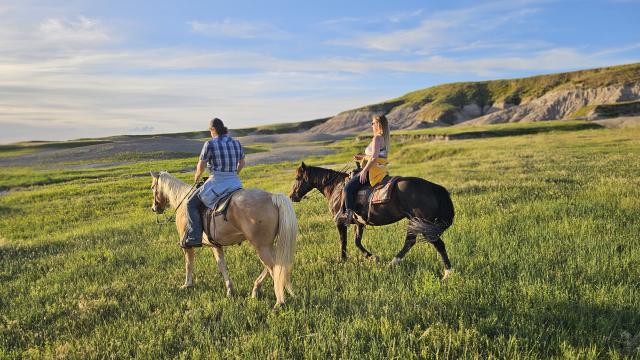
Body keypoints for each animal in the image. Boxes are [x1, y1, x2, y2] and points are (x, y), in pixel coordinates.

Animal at [150, 170, 298, 308]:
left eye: (152, 187)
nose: (154, 208)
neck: (182, 202)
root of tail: (272, 197)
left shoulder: (187, 246)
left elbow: (188, 264)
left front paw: (187, 284)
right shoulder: (215, 245)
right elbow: (222, 265)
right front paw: (230, 290)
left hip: (262, 247)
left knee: (274, 268)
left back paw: (279, 301)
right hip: (266, 246)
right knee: (274, 266)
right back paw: (256, 290)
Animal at [290, 162, 456, 278]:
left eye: (298, 178)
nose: (292, 196)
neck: (335, 188)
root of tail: (432, 187)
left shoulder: (340, 223)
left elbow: (343, 242)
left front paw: (343, 261)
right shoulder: (359, 223)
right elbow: (357, 242)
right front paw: (372, 257)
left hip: (424, 224)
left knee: (438, 244)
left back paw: (447, 273)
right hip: (415, 222)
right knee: (410, 242)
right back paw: (392, 264)